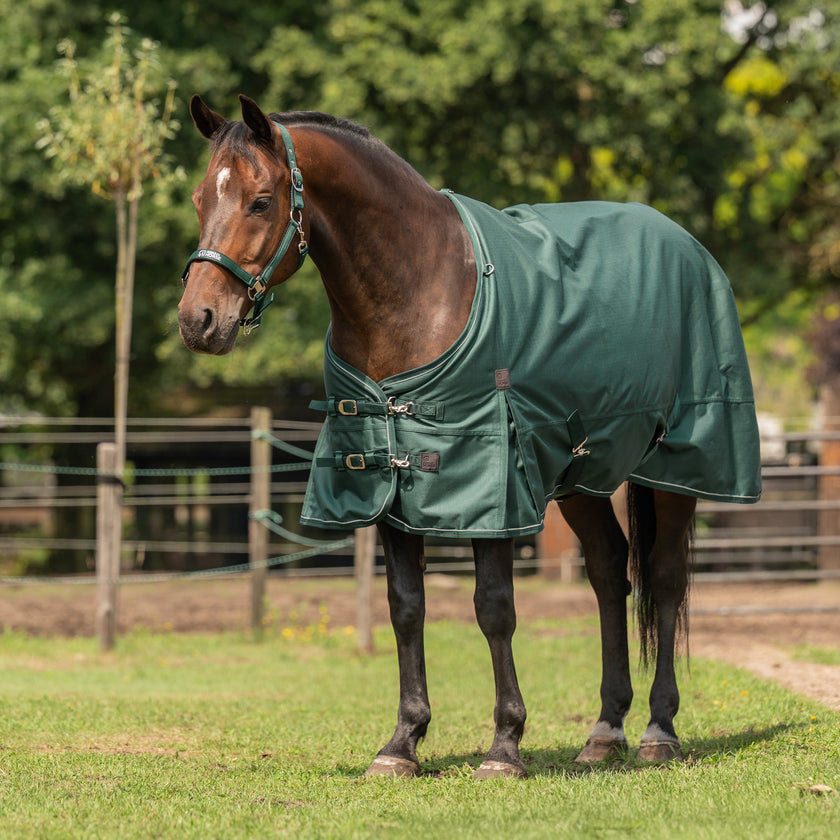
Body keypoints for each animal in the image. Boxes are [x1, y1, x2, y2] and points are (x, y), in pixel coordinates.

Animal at [178, 95, 761, 778]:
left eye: (261, 201)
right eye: (200, 199)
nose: (198, 320)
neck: (419, 289)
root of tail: (691, 248)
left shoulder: (491, 486)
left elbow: (494, 608)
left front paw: (505, 746)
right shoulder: (390, 485)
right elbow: (406, 606)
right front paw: (402, 743)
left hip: (677, 467)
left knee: (665, 578)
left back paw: (658, 730)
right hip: (580, 477)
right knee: (608, 571)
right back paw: (604, 731)